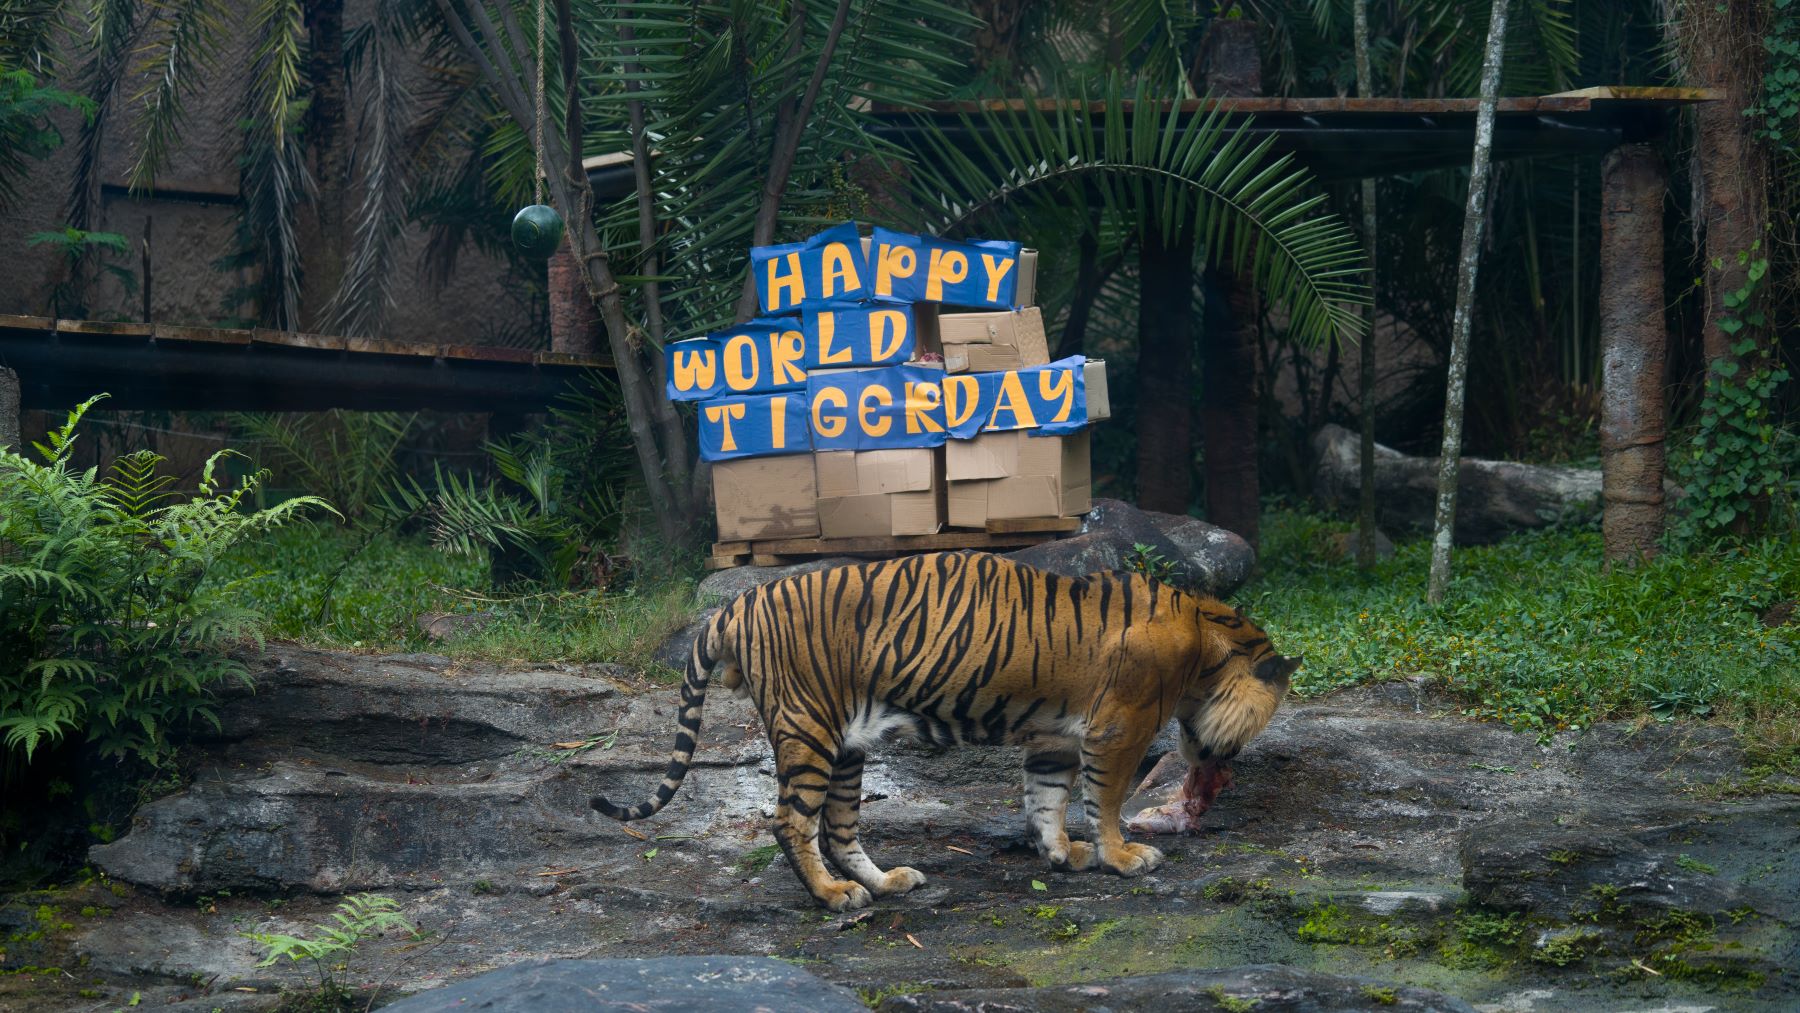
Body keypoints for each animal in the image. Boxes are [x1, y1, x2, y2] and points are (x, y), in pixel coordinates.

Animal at [592, 551, 1298, 911]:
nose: (1222, 767)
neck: (1210, 644)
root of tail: (733, 606)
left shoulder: (1055, 740)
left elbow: (1047, 800)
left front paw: (1060, 855)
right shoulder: (1119, 729)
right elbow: (1106, 802)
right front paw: (1122, 856)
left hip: (847, 744)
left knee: (837, 828)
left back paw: (884, 883)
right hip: (810, 728)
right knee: (790, 823)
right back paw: (835, 897)